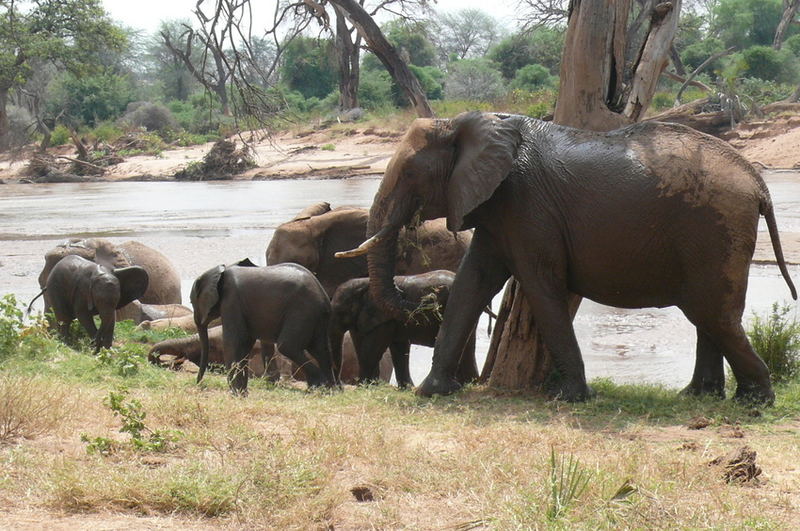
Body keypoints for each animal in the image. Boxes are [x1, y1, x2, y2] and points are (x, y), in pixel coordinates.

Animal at [191, 260, 338, 392]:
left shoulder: (231, 300)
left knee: (287, 346)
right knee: (321, 349)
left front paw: (236, 393)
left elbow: (234, 341)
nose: (199, 383)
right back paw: (331, 389)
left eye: (192, 303)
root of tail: (325, 298)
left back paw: (318, 385)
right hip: (316, 317)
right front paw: (241, 392)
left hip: (302, 312)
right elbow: (245, 343)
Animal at [328, 272, 478, 388]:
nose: (339, 385)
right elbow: (397, 347)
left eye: (341, 312)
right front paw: (404, 388)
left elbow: (371, 350)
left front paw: (365, 387)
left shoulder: (384, 317)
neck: (362, 284)